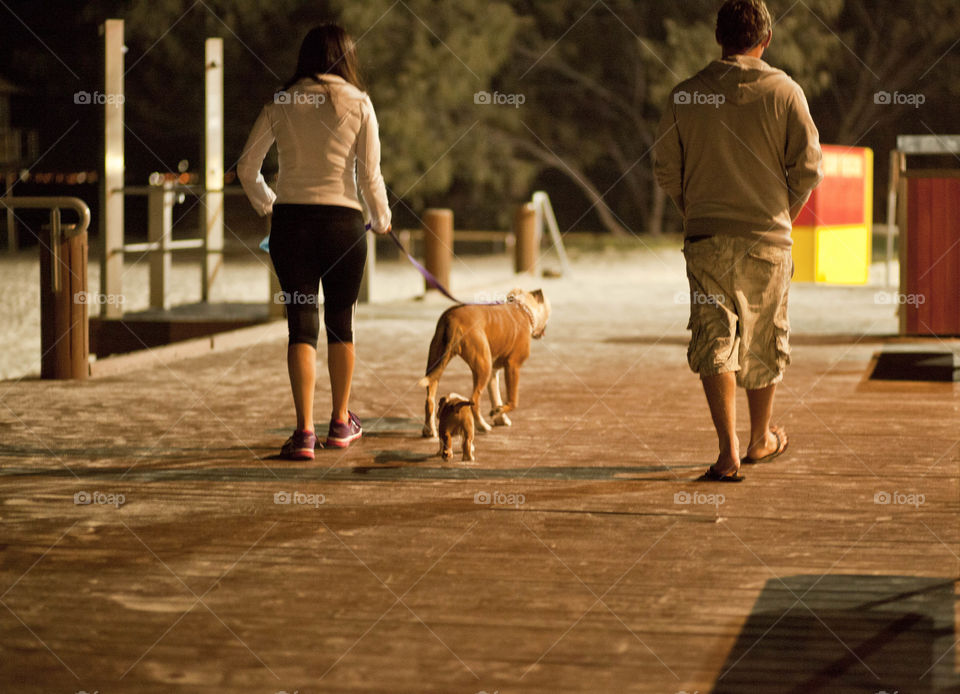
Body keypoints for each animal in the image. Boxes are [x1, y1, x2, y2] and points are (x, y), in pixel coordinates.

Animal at [418, 288, 548, 440]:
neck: (522, 308)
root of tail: (451, 319)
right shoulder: (513, 366)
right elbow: (513, 400)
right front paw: (498, 411)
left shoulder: (493, 373)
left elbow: (496, 396)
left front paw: (499, 416)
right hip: (483, 366)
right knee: (473, 400)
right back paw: (482, 425)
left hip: (436, 364)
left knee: (429, 399)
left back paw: (429, 430)